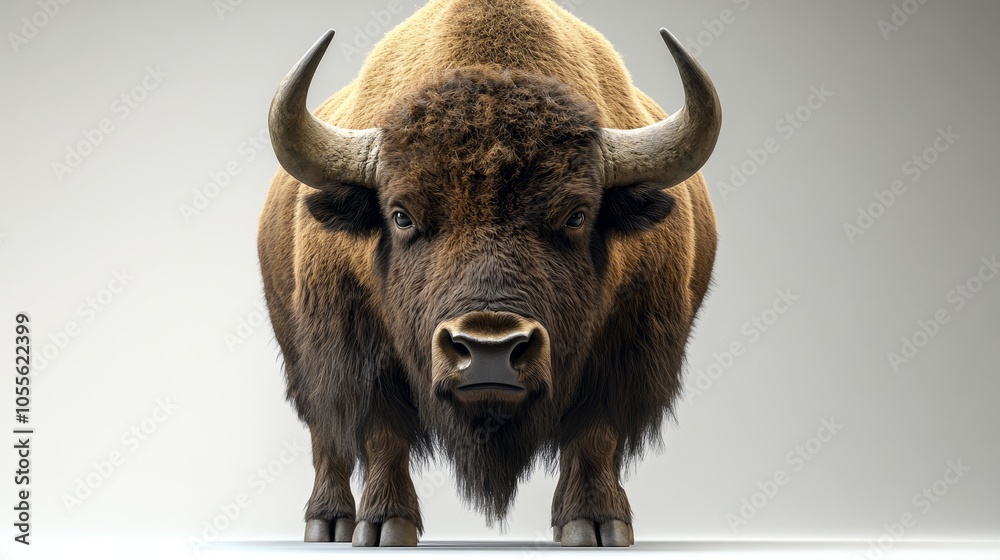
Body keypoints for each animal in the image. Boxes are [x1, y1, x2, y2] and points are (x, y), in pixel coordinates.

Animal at [258, 0, 721, 547]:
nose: (489, 351)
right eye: (401, 215)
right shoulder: (355, 351)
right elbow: (381, 433)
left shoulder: (623, 353)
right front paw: (386, 525)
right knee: (326, 438)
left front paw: (595, 524)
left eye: (577, 216)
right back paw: (327, 523)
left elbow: (594, 434)